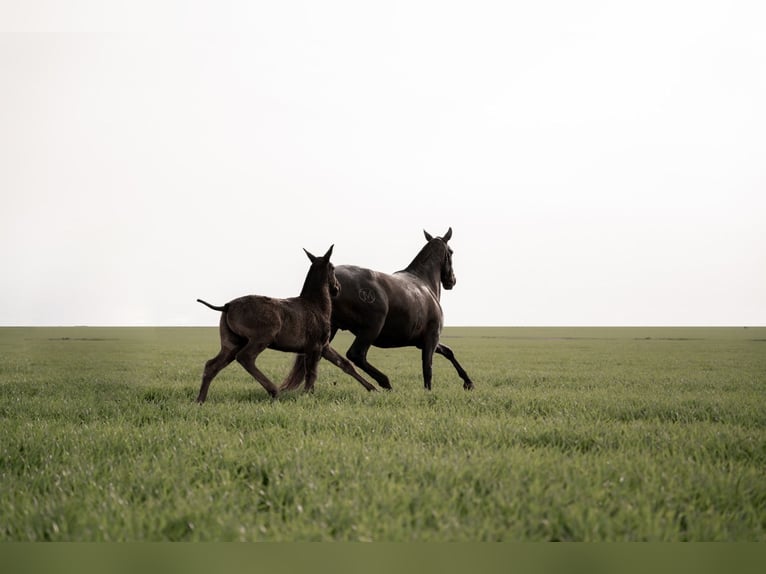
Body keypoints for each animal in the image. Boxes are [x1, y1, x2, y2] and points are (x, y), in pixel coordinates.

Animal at [195, 245, 375, 403]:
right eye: (332, 268)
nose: (337, 288)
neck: (317, 305)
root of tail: (227, 306)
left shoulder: (323, 346)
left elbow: (344, 364)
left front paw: (373, 388)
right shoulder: (315, 346)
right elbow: (312, 373)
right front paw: (307, 395)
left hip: (231, 342)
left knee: (212, 365)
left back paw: (200, 400)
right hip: (261, 337)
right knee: (245, 357)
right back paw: (274, 391)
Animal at [327, 227, 474, 391]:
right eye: (451, 252)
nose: (452, 280)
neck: (424, 282)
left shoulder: (421, 341)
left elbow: (448, 352)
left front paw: (468, 382)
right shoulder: (432, 337)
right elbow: (427, 368)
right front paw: (428, 391)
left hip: (332, 327)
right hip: (371, 328)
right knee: (355, 355)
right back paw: (383, 383)